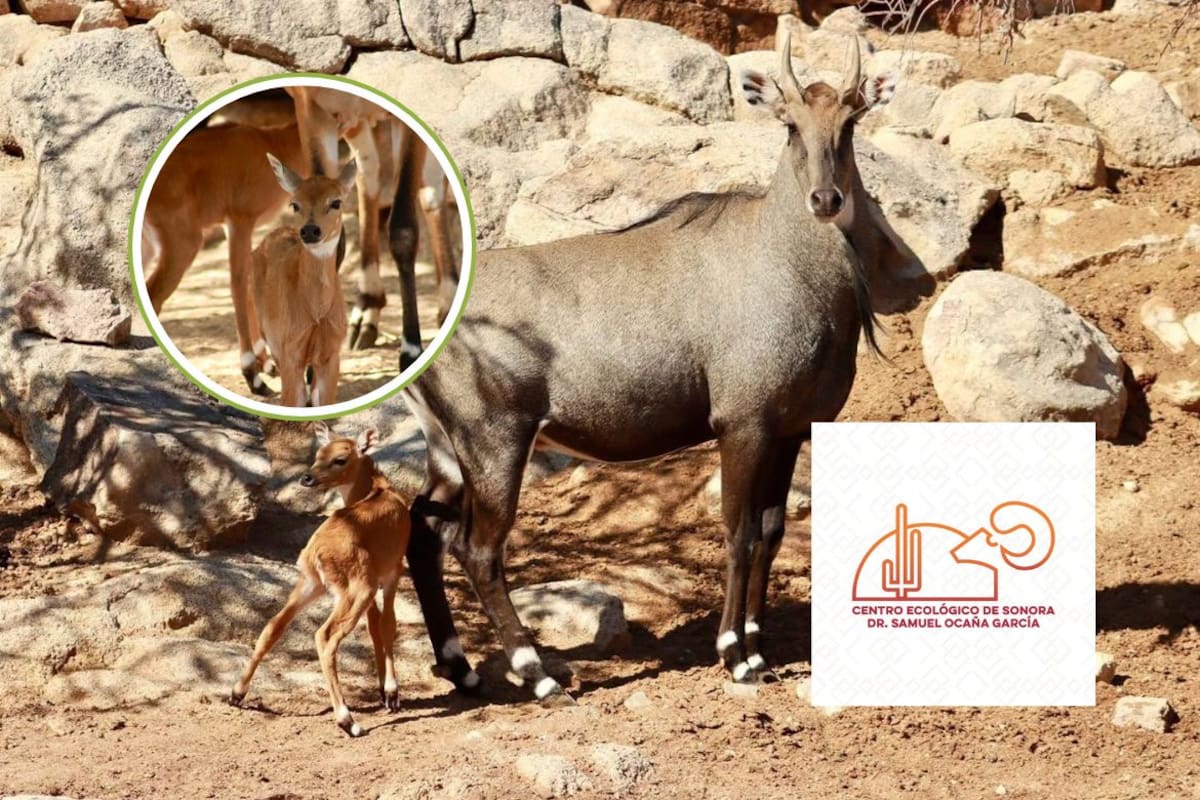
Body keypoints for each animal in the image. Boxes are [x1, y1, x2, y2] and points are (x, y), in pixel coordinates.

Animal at [141, 121, 305, 395]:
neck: (274, 142)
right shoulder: (240, 220)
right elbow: (238, 281)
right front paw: (252, 373)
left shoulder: (239, 227)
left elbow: (248, 278)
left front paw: (264, 362)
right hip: (183, 245)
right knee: (153, 295)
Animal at [230, 424, 412, 738]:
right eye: (318, 454)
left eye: (340, 458)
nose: (307, 477)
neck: (379, 490)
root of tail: (316, 550)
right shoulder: (392, 570)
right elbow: (388, 625)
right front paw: (391, 693)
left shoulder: (380, 577)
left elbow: (375, 626)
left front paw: (383, 690)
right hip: (356, 589)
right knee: (325, 637)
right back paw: (348, 721)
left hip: (313, 584)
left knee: (273, 626)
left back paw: (236, 693)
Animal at [250, 155, 356, 407]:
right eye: (295, 204)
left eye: (336, 202)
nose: (309, 231)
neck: (316, 313)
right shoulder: (290, 350)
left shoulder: (331, 352)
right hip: (273, 338)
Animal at [401, 36, 897, 704]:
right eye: (790, 124)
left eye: (850, 123)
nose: (826, 200)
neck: (789, 262)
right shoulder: (742, 424)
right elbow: (739, 532)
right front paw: (735, 654)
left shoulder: (792, 430)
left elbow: (770, 532)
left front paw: (760, 647)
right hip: (495, 445)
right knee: (476, 550)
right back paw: (537, 674)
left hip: (449, 453)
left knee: (422, 532)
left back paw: (462, 668)